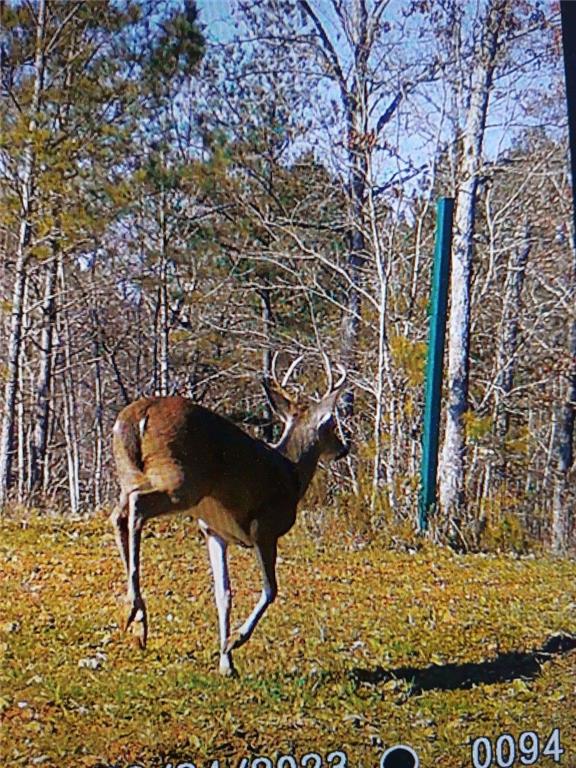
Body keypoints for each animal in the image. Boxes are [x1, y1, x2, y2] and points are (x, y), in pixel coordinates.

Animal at [110, 356, 348, 676]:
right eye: (331, 424)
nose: (343, 448)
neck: (292, 474)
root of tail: (138, 416)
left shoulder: (214, 531)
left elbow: (223, 594)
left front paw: (226, 661)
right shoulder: (265, 528)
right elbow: (270, 589)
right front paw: (236, 640)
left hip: (128, 473)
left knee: (118, 515)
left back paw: (138, 622)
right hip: (181, 480)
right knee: (136, 508)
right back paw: (133, 608)